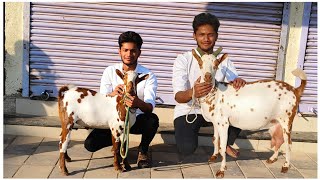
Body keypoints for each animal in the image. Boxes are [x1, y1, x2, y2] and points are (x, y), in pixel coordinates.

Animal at [191, 49, 306, 177]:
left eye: (216, 65)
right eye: (200, 64)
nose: (207, 76)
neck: (215, 94)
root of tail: (295, 90)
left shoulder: (224, 123)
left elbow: (223, 146)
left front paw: (221, 169)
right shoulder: (216, 122)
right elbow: (215, 139)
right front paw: (214, 156)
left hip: (287, 120)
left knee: (288, 143)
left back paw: (286, 166)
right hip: (275, 122)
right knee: (278, 140)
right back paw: (272, 158)